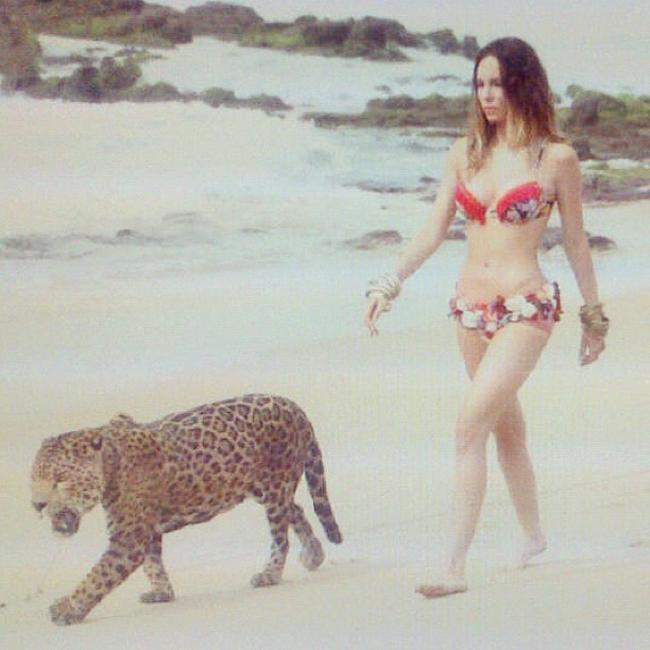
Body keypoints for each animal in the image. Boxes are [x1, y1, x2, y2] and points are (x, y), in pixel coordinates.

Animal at [30, 394, 342, 625]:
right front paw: (162, 593)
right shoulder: (146, 529)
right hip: (263, 488)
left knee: (280, 536)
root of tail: (295, 406)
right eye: (34, 478)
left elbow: (98, 576)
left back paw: (270, 575)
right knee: (296, 508)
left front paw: (67, 609)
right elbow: (152, 563)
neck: (110, 464)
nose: (37, 504)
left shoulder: (129, 539)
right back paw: (314, 553)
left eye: (60, 480)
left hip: (275, 486)